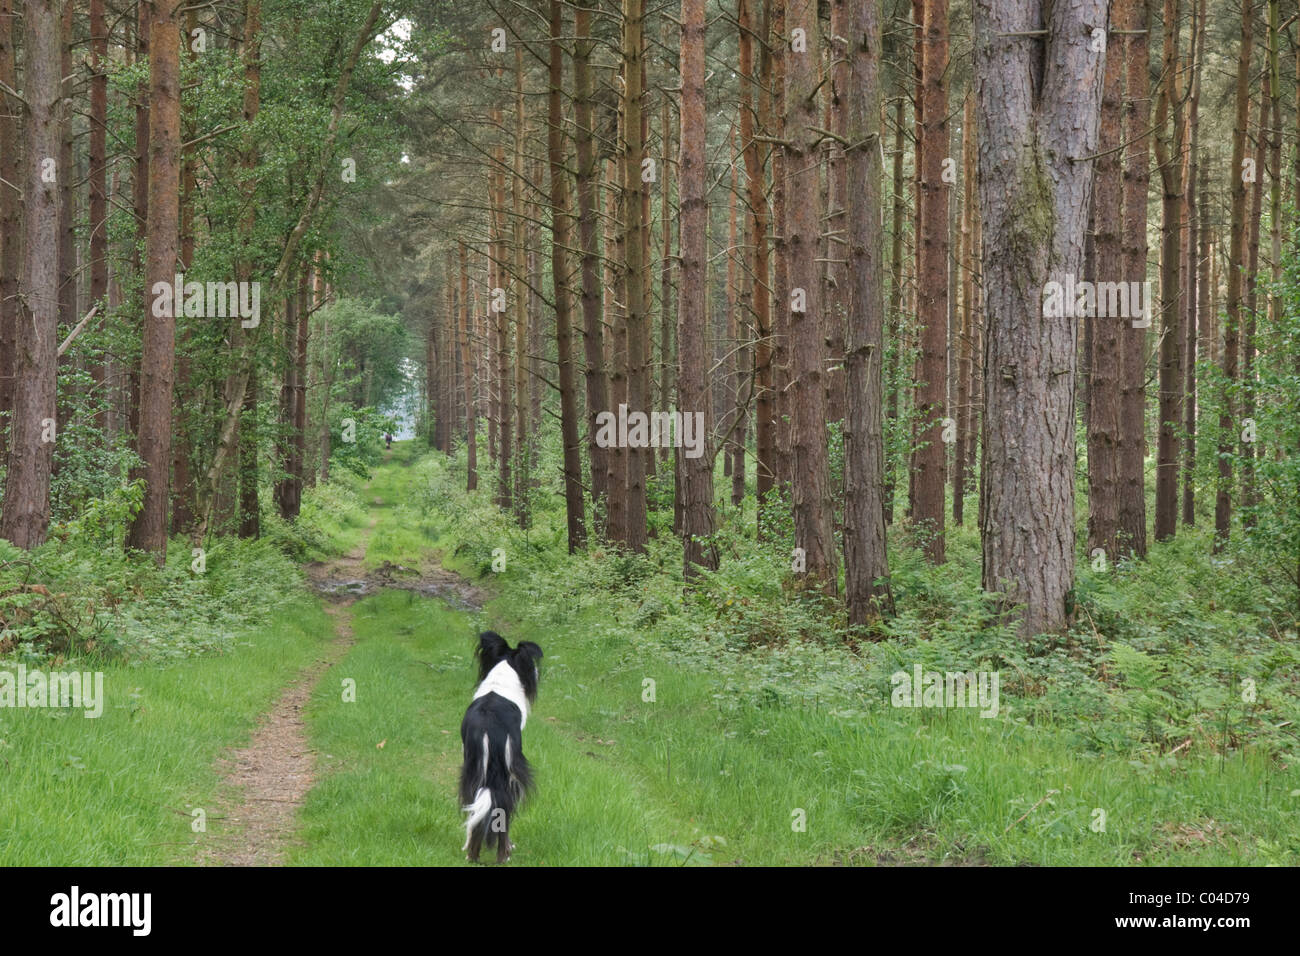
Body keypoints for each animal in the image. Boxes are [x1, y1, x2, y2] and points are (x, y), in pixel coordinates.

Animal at [460, 632, 540, 863]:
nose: (537, 672)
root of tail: (489, 727)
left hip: (473, 770)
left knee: (476, 805)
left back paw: (472, 855)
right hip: (509, 772)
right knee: (503, 806)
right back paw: (503, 855)